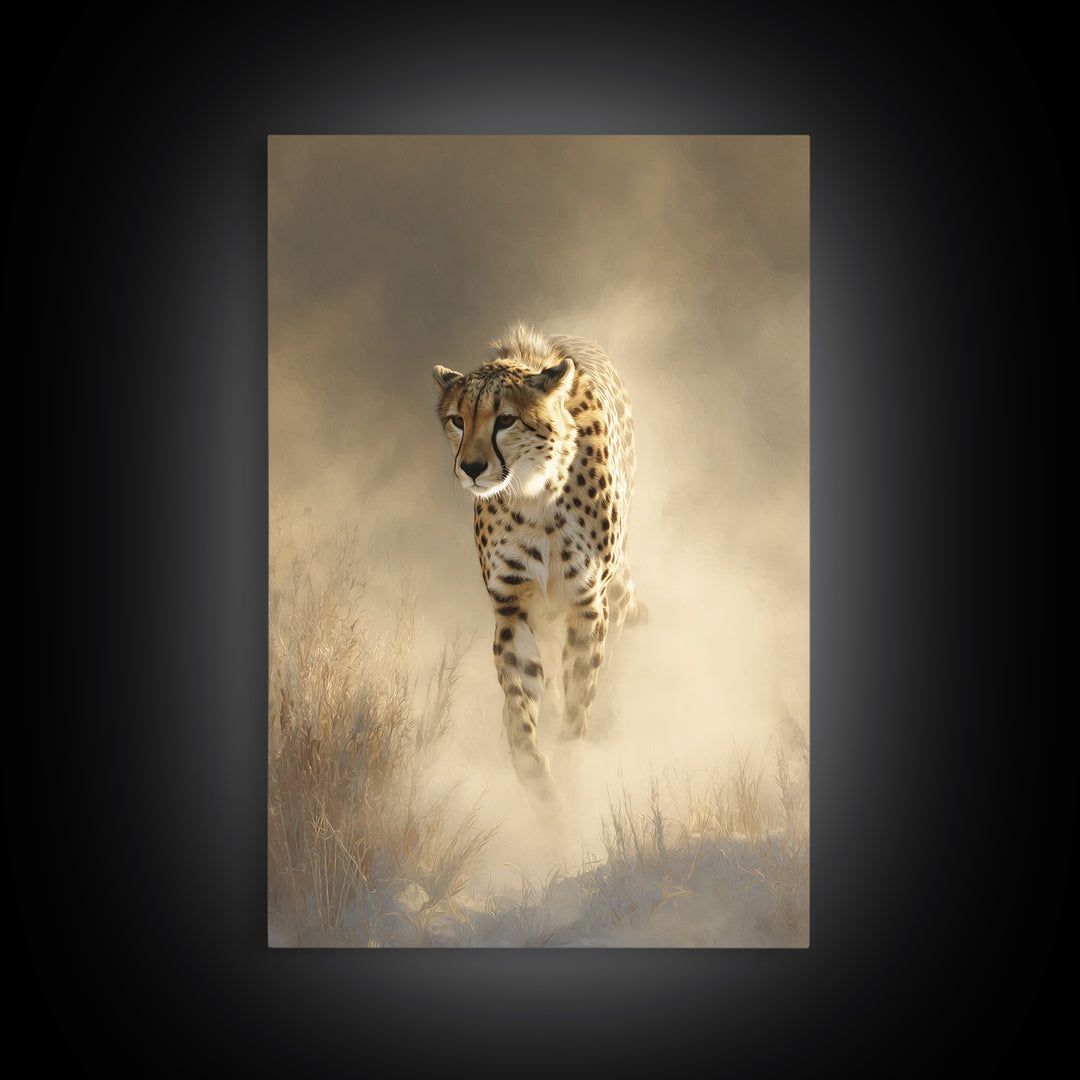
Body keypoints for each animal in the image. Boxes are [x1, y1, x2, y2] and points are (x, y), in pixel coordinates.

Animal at [434, 323, 645, 806]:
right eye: (458, 420)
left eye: (505, 420)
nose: (471, 468)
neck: (535, 492)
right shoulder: (513, 607)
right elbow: (518, 700)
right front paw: (536, 776)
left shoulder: (587, 603)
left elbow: (579, 696)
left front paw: (568, 766)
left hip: (615, 591)